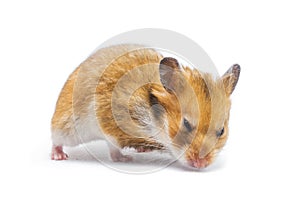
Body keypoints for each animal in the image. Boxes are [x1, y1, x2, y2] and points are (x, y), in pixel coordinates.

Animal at [50, 44, 240, 169]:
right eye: (186, 123)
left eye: (221, 131)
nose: (201, 165)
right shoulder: (109, 123)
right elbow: (113, 145)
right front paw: (128, 157)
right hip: (67, 127)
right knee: (55, 139)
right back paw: (59, 156)